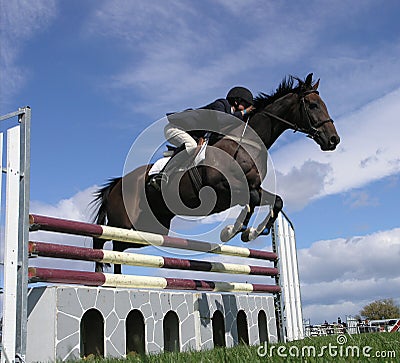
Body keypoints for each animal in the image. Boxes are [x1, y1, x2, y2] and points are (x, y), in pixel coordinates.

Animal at [91, 74, 340, 272]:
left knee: (119, 248)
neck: (245, 144)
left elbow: (275, 201)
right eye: (313, 105)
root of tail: (116, 185)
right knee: (103, 239)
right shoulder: (223, 190)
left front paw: (250, 232)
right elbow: (252, 200)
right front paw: (233, 231)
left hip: (149, 228)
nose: (333, 140)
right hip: (126, 224)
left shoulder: (252, 187)